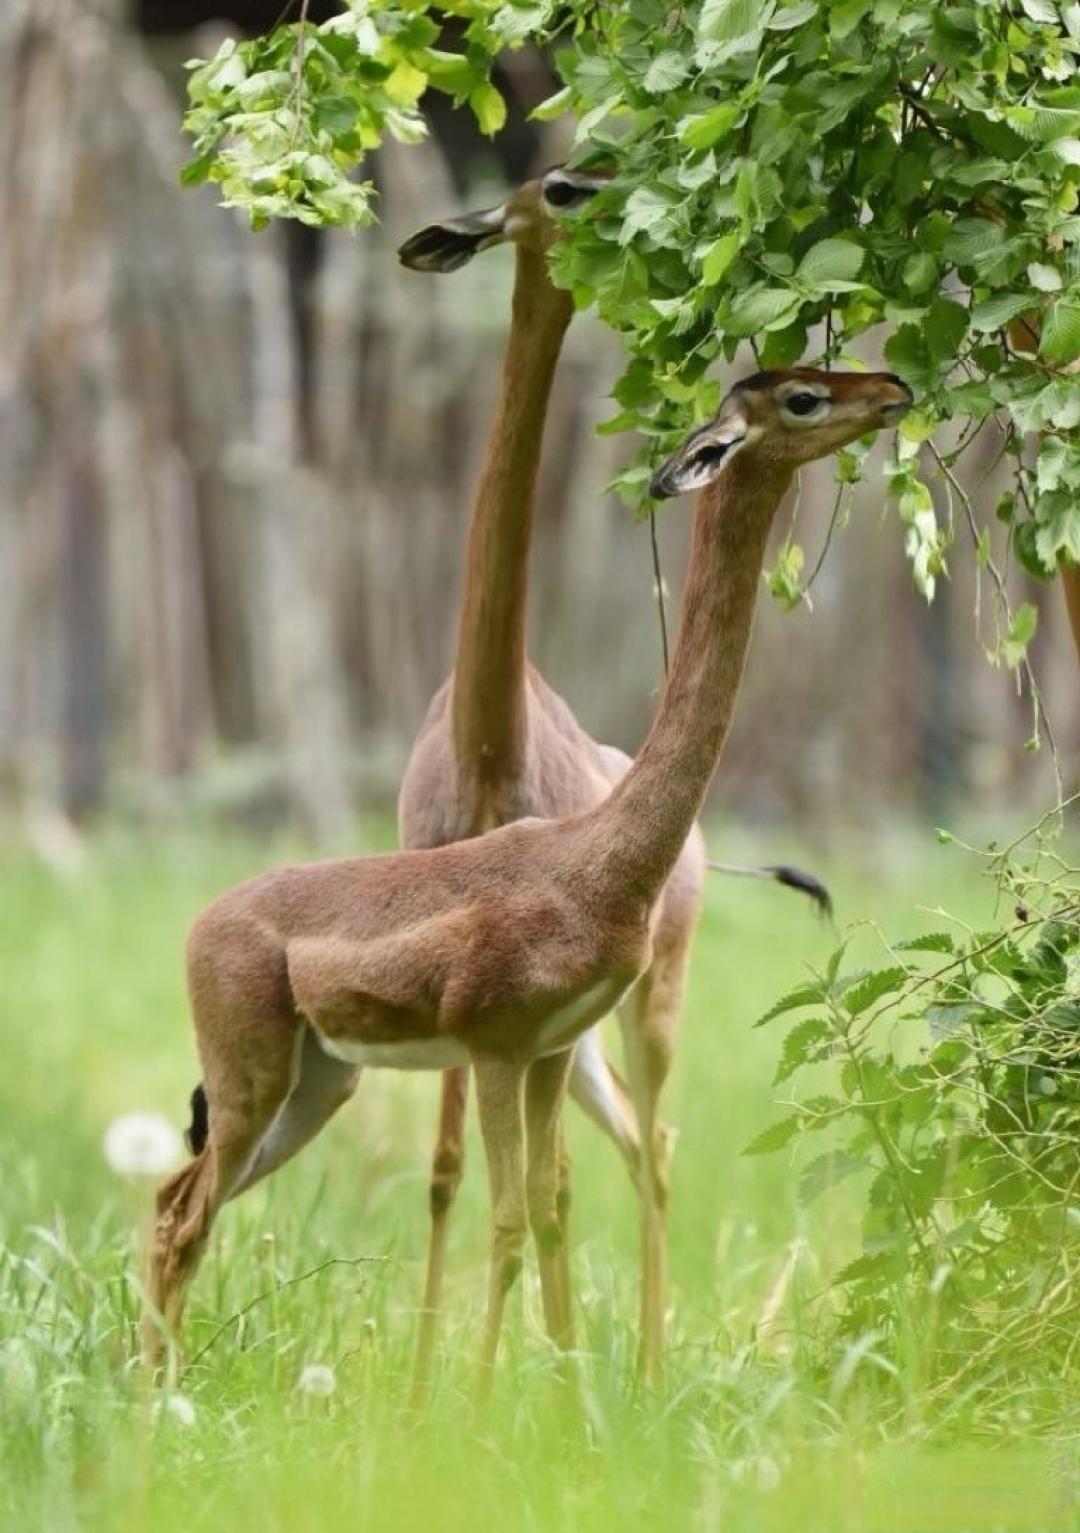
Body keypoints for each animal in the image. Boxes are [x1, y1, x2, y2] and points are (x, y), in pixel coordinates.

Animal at [144, 367, 912, 1393]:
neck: (596, 858)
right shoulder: (498, 1049)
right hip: (251, 1082)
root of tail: (202, 922)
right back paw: (157, 1401)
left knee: (171, 1201)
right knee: (183, 1216)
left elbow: (546, 1208)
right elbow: (506, 1222)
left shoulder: (550, 1049)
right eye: (801, 396)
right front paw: (464, 1408)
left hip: (318, 1085)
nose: (894, 388)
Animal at [394, 167, 831, 1390]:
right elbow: (448, 1172)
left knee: (653, 1146)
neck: (488, 744)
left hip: (649, 1006)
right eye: (559, 186)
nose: (617, 204)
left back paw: (636, 1359)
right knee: (620, 1148)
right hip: (575, 1035)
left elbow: (542, 1184)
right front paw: (427, 1380)